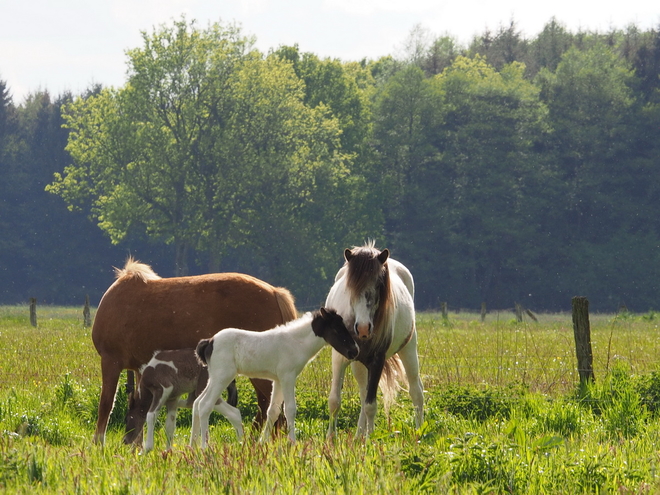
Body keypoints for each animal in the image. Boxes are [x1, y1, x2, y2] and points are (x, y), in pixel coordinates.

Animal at [91, 260, 296, 446]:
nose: (125, 442)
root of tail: (274, 292)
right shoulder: (141, 367)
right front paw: (137, 445)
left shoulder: (110, 361)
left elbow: (105, 405)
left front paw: (98, 444)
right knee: (268, 407)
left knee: (270, 407)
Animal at [324, 244, 422, 438]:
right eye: (351, 285)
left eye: (379, 284)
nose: (363, 328)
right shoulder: (339, 358)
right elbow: (335, 401)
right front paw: (331, 438)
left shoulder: (377, 361)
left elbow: (371, 405)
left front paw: (370, 439)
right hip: (359, 365)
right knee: (363, 394)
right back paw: (357, 437)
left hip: (408, 350)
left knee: (416, 391)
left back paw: (419, 431)